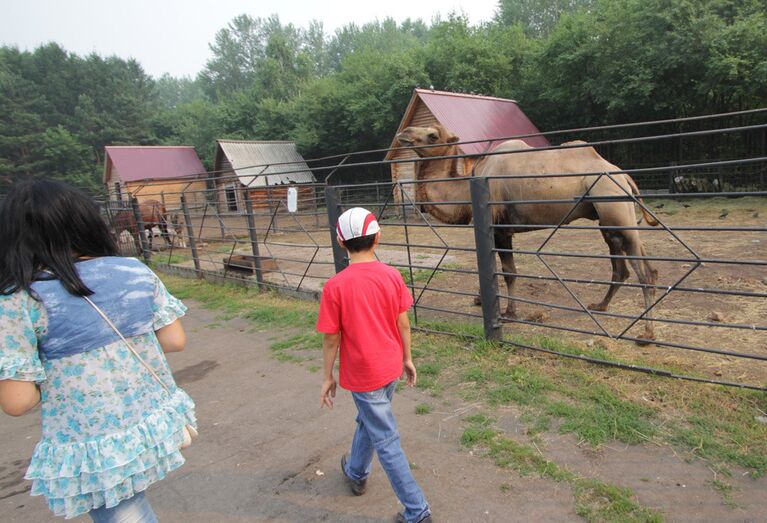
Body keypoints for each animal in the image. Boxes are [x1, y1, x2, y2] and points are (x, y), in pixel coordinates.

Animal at [396, 124, 660, 344]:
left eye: (432, 135)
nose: (403, 133)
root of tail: (623, 175)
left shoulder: (500, 228)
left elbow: (508, 272)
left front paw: (509, 312)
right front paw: (480, 298)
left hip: (613, 205)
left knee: (644, 273)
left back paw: (646, 334)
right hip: (610, 220)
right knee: (627, 267)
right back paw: (600, 305)